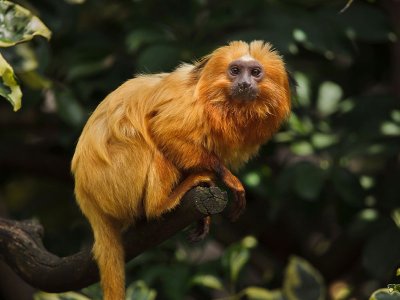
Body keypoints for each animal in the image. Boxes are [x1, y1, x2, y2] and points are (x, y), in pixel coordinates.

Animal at [71, 40, 290, 300]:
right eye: (235, 71)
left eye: (255, 72)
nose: (244, 83)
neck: (220, 104)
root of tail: (87, 199)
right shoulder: (188, 106)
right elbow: (164, 129)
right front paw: (227, 177)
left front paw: (204, 215)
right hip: (114, 179)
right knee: (150, 143)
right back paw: (163, 202)